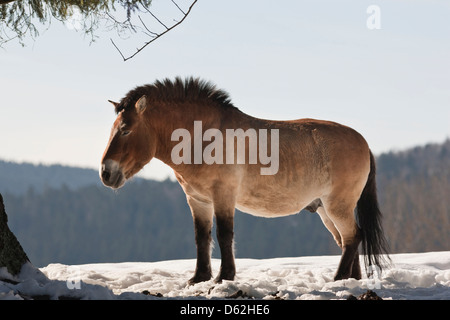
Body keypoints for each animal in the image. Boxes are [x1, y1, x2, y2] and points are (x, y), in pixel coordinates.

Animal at [100, 76, 388, 284]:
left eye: (125, 130)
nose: (105, 173)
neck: (202, 137)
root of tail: (364, 143)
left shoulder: (223, 196)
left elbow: (224, 235)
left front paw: (224, 277)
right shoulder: (198, 201)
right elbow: (201, 237)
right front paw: (199, 278)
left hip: (337, 205)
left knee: (353, 236)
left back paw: (338, 279)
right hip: (325, 210)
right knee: (347, 240)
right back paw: (350, 280)